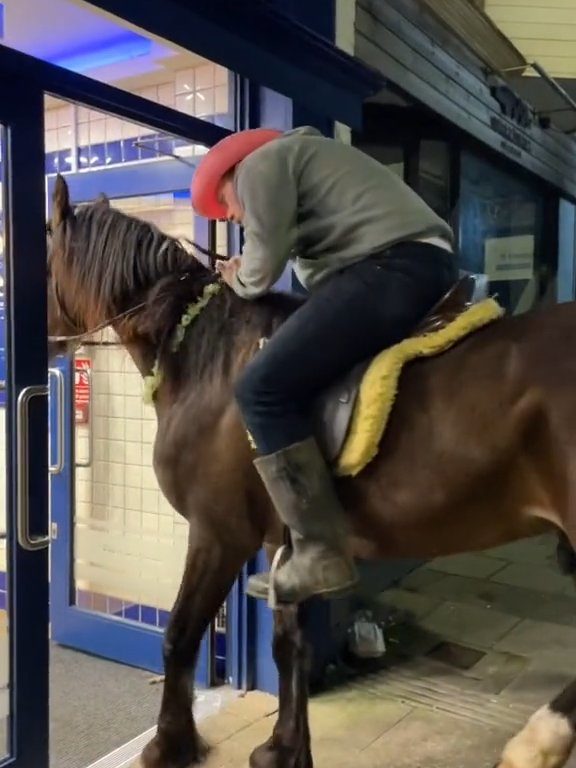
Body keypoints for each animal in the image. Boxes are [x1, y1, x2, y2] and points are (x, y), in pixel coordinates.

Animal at [47, 174, 576, 768]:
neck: (207, 360)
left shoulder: (218, 533)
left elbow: (180, 634)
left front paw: (169, 743)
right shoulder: (285, 545)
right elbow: (289, 646)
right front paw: (284, 747)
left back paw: (538, 740)